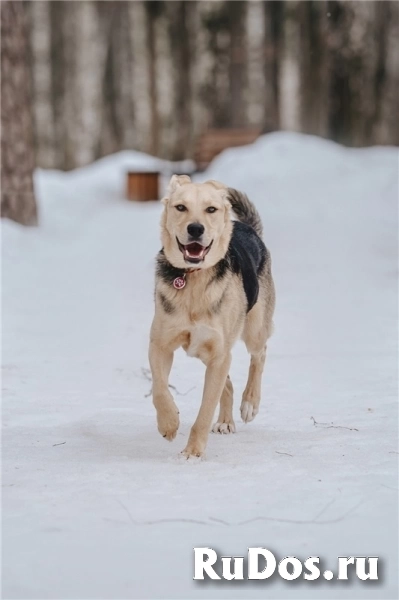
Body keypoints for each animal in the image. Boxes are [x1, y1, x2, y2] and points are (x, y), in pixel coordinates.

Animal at [148, 176, 276, 458]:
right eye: (181, 207)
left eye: (211, 209)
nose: (196, 229)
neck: (193, 279)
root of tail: (248, 228)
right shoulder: (161, 345)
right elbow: (160, 389)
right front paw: (169, 423)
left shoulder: (218, 354)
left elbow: (205, 411)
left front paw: (193, 453)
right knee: (227, 384)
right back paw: (226, 421)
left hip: (253, 330)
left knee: (259, 354)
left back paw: (250, 402)